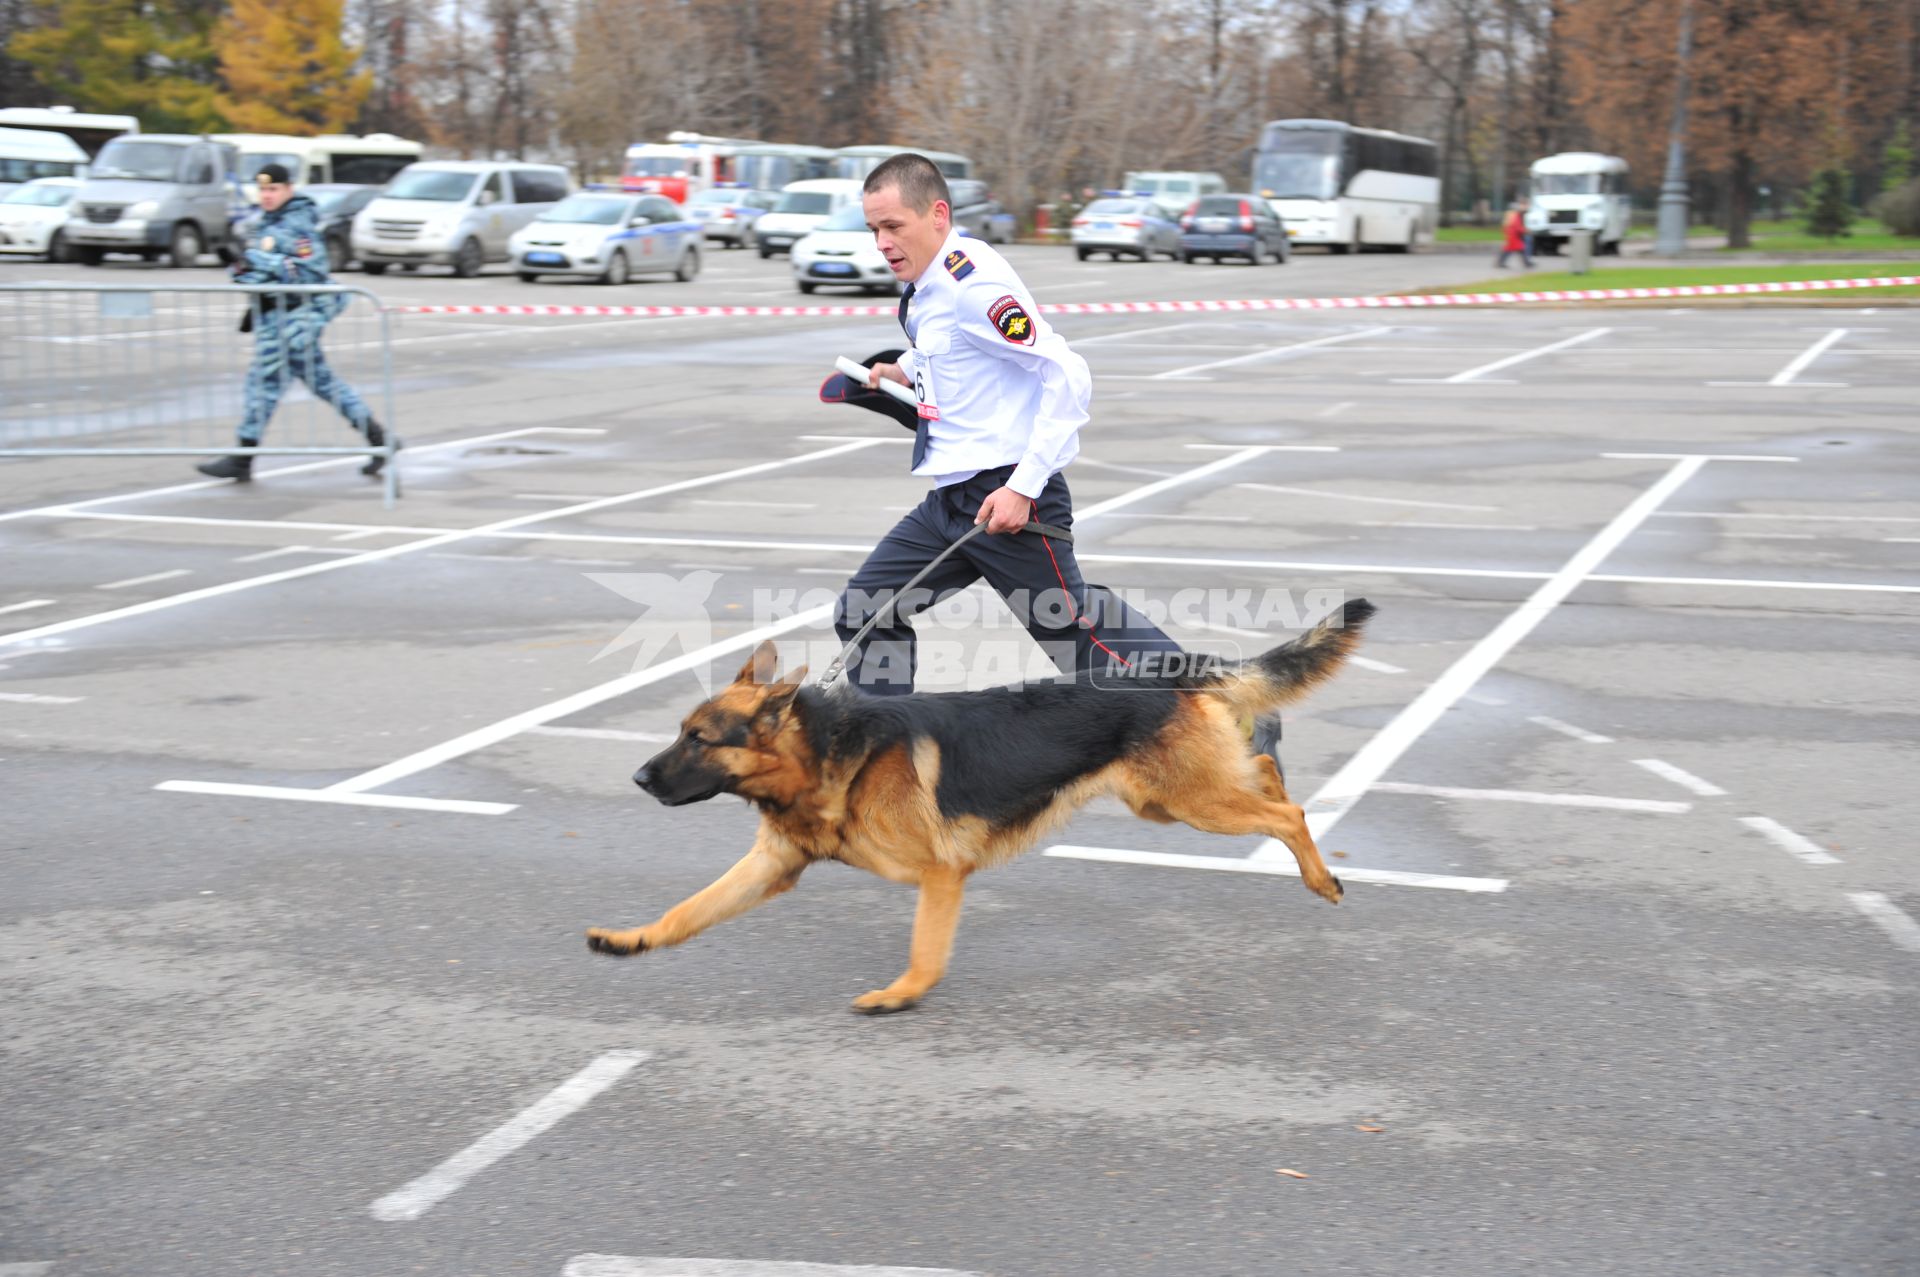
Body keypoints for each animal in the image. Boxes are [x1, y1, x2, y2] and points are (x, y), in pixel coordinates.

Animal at [587, 599, 1382, 1013]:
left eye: (698, 738)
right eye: (679, 731)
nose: (637, 777)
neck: (829, 754)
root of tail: (1166, 671)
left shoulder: (941, 876)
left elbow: (925, 952)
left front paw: (899, 994)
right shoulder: (769, 867)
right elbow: (687, 910)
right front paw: (631, 939)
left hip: (1192, 803)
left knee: (1288, 815)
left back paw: (1322, 878)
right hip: (1165, 800)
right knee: (1266, 774)